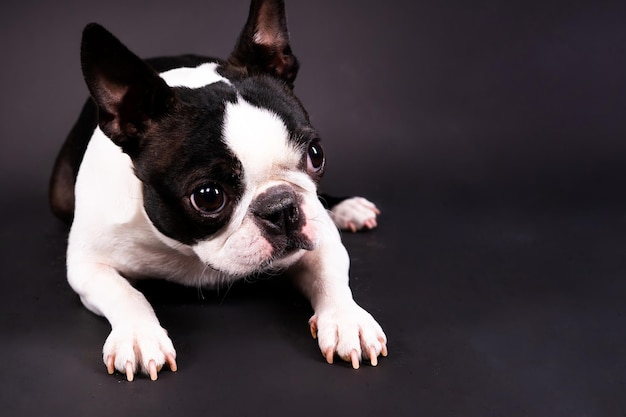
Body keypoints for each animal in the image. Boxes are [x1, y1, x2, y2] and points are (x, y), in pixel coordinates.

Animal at [50, 0, 386, 380]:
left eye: (316, 154)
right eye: (208, 197)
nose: (282, 207)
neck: (189, 251)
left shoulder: (320, 234)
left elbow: (330, 274)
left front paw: (348, 321)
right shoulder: (87, 264)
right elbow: (126, 294)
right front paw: (138, 335)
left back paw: (348, 208)